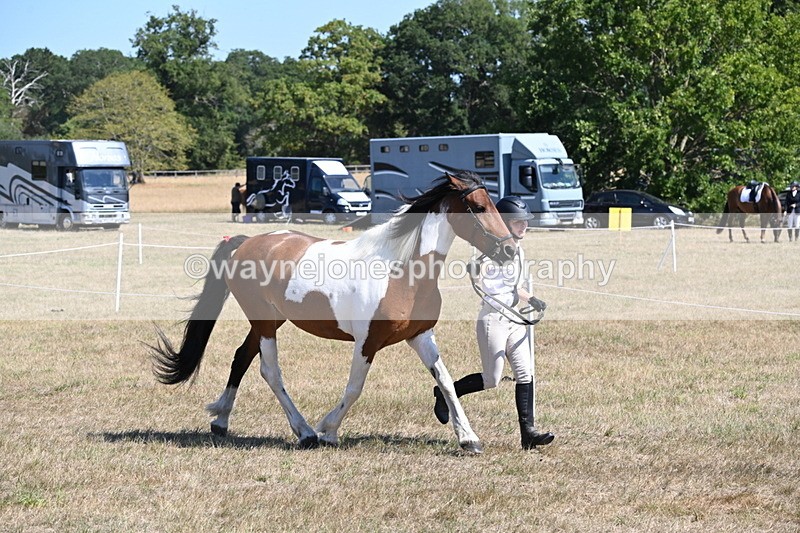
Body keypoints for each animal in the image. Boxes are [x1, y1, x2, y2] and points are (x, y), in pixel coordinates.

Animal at [150, 171, 516, 454]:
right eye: (478, 207)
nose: (510, 249)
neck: (403, 271)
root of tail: (244, 243)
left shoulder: (420, 336)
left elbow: (446, 382)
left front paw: (469, 439)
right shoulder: (367, 342)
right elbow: (354, 388)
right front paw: (328, 430)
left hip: (268, 320)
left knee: (241, 358)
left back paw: (221, 420)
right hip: (265, 322)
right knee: (270, 371)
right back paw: (305, 432)